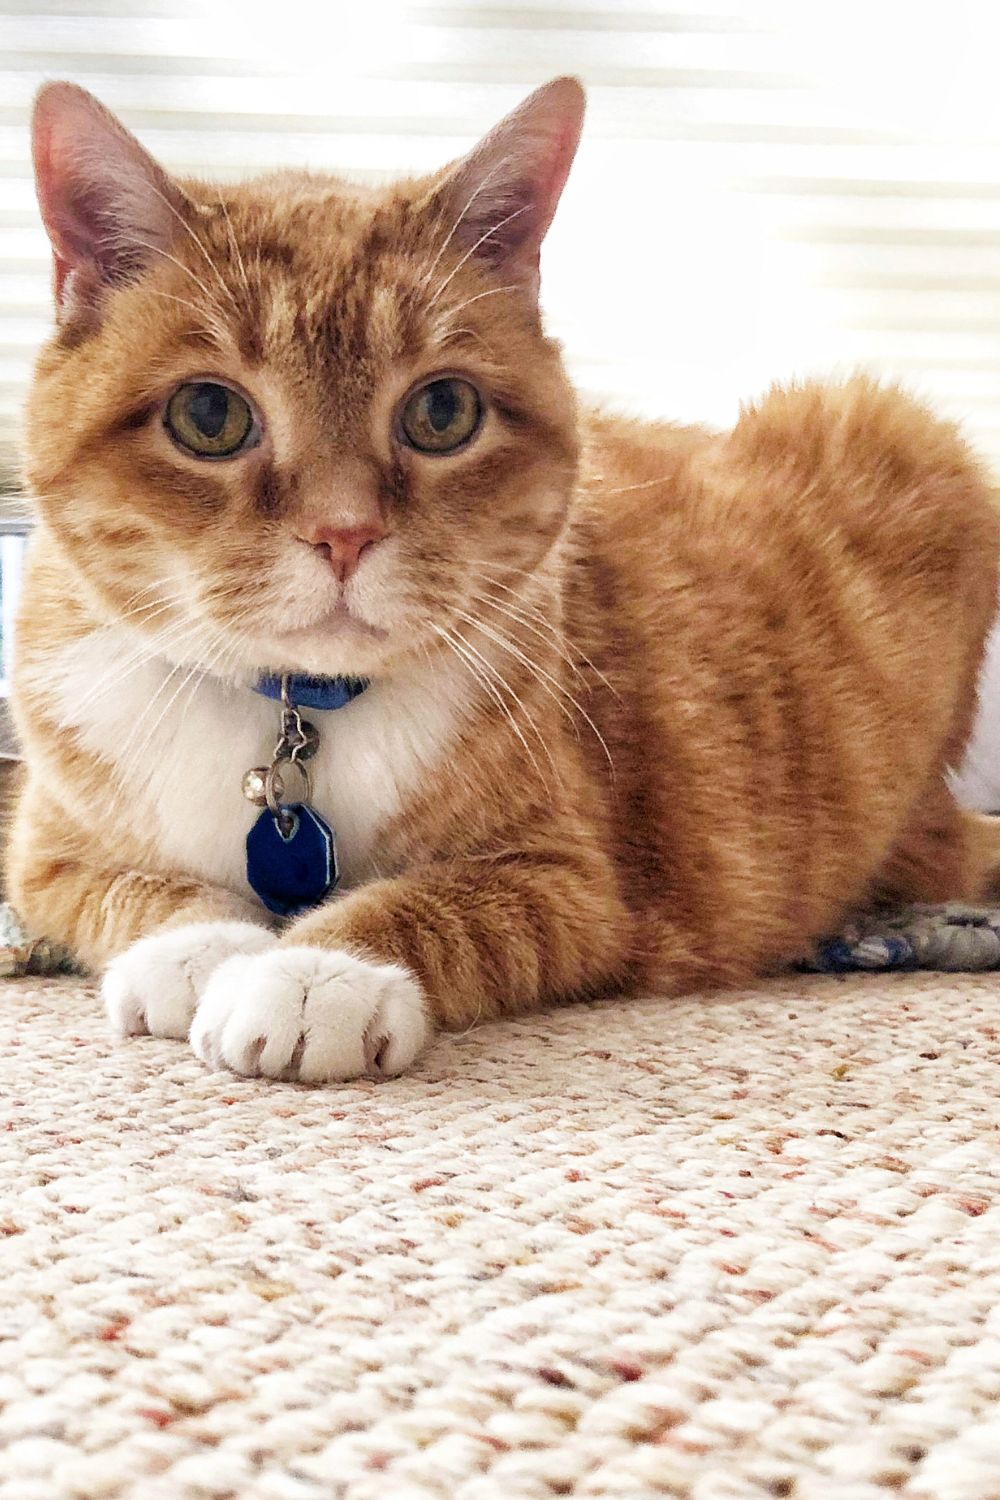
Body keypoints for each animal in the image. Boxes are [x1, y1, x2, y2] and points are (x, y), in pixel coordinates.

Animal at [7, 79, 1000, 1080]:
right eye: (208, 415)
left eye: (443, 411)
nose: (344, 534)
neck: (295, 712)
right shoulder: (45, 848)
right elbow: (133, 889)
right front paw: (201, 949)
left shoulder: (574, 884)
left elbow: (435, 905)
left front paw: (315, 973)